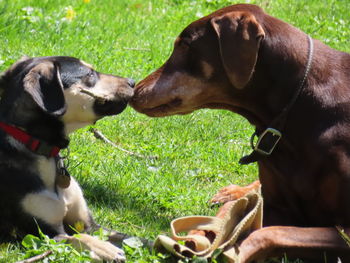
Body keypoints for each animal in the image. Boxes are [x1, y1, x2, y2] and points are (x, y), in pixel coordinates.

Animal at [0, 56, 134, 262]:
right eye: (90, 74)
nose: (132, 82)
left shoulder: (89, 224)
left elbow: (134, 237)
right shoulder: (46, 233)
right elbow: (79, 237)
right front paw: (105, 248)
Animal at [130, 4, 350, 263]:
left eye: (184, 45)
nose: (134, 90)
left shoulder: (344, 230)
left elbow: (270, 233)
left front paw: (233, 251)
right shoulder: (277, 206)